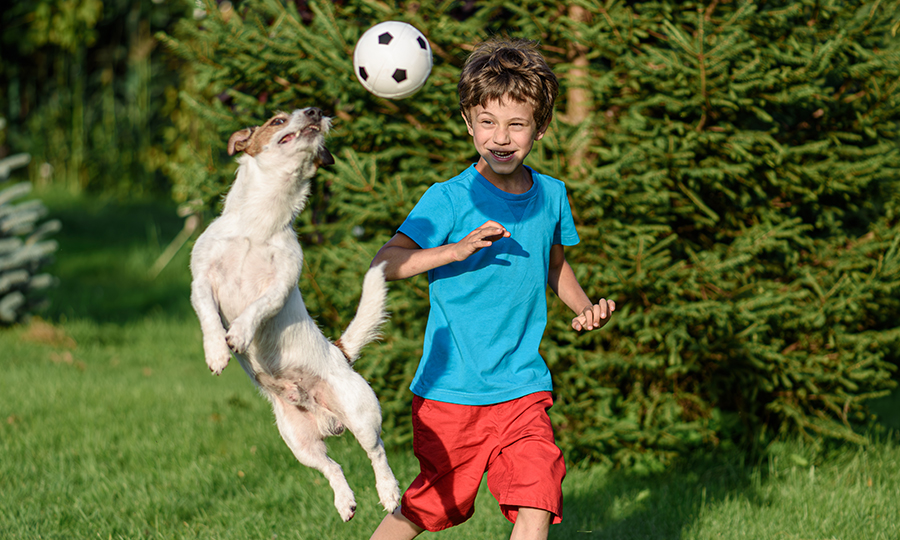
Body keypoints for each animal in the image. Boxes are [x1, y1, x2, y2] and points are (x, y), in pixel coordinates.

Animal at [188, 107, 400, 520]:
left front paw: (239, 333)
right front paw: (217, 351)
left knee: (377, 453)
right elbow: (208, 317)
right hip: (299, 443)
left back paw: (389, 493)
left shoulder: (281, 284)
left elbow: (257, 307)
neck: (260, 222)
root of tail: (340, 352)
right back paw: (345, 501)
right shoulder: (201, 280)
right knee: (333, 466)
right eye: (277, 120)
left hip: (362, 414)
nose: (315, 111)